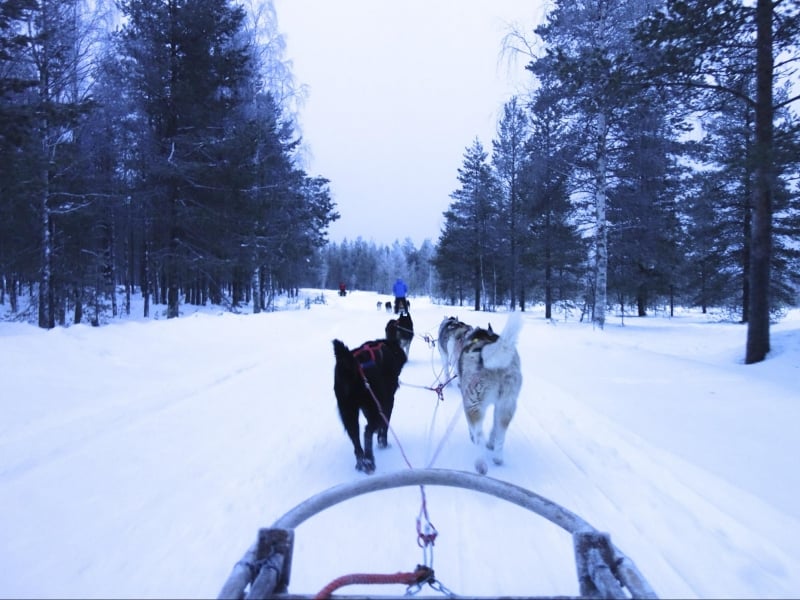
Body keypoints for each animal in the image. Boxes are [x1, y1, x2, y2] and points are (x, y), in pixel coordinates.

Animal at [332, 338, 406, 474]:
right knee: (367, 431)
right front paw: (383, 442)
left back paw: (362, 462)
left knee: (355, 438)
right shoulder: (388, 402)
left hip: (348, 412)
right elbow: (385, 425)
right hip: (374, 407)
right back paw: (369, 461)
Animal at [456, 314, 524, 474]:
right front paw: (491, 444)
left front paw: (472, 437)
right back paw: (497, 457)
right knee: (501, 432)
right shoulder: (499, 405)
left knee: (479, 435)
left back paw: (480, 463)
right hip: (507, 404)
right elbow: (494, 427)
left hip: (474, 404)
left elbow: (473, 430)